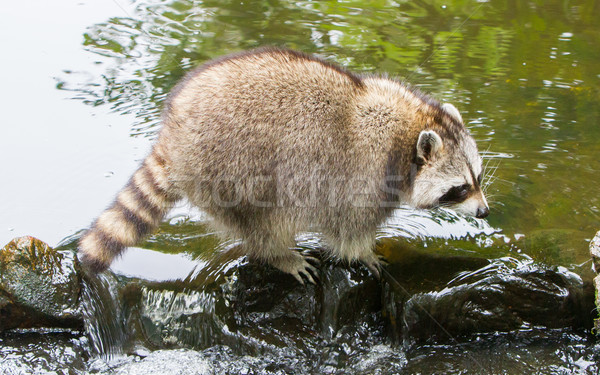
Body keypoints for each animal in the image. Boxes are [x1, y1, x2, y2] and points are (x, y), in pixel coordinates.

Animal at [77, 46, 490, 282]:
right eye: (460, 188)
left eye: (478, 177)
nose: (485, 212)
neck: (409, 129)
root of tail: (173, 135)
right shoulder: (364, 175)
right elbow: (349, 230)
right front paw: (365, 254)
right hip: (230, 169)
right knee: (264, 222)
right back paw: (279, 255)